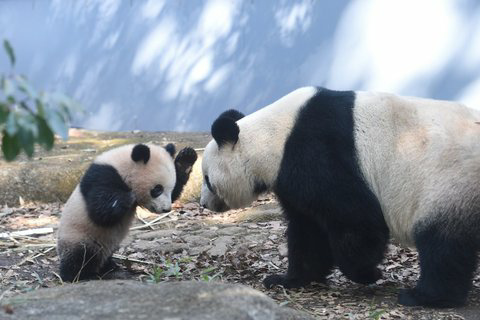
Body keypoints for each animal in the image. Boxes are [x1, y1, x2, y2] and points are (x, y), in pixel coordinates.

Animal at [57, 144, 197, 282]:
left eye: (170, 189)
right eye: (157, 189)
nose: (166, 209)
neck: (121, 166)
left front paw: (186, 158)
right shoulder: (102, 175)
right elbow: (99, 212)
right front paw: (128, 197)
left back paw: (110, 267)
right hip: (80, 236)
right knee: (81, 255)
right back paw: (79, 275)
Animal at [201, 87, 480, 308]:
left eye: (206, 179)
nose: (203, 204)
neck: (272, 137)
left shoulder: (315, 152)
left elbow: (356, 217)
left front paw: (368, 273)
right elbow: (309, 230)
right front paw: (287, 279)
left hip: (449, 183)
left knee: (443, 244)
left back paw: (424, 296)